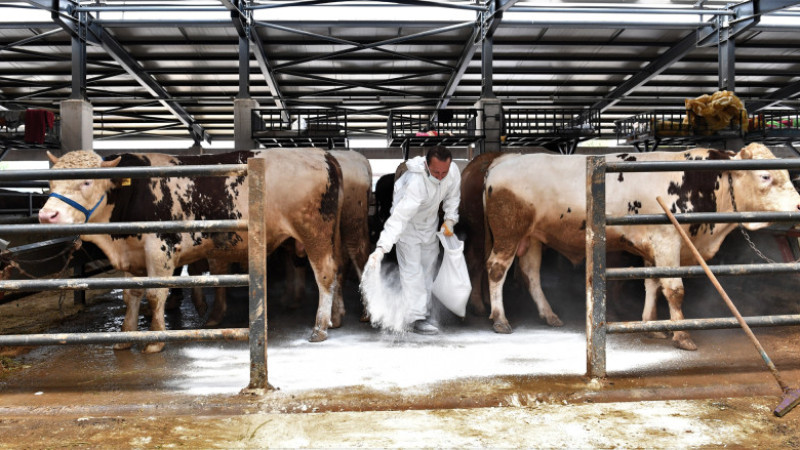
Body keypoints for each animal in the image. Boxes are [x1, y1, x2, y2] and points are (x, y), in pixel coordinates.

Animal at [39, 148, 342, 352]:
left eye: (87, 181)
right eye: (51, 182)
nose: (47, 215)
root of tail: (322, 155)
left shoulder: (160, 248)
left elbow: (155, 294)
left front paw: (155, 340)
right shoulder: (133, 254)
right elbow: (131, 295)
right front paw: (126, 336)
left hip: (313, 232)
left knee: (325, 274)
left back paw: (319, 327)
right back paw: (335, 318)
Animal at [478, 144, 800, 352]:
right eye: (765, 176)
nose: (798, 205)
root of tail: (504, 160)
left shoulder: (653, 248)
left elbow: (653, 284)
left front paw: (651, 326)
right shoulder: (667, 241)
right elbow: (674, 290)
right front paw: (682, 336)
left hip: (531, 237)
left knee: (531, 273)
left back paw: (549, 314)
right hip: (509, 232)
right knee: (496, 269)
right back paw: (501, 319)